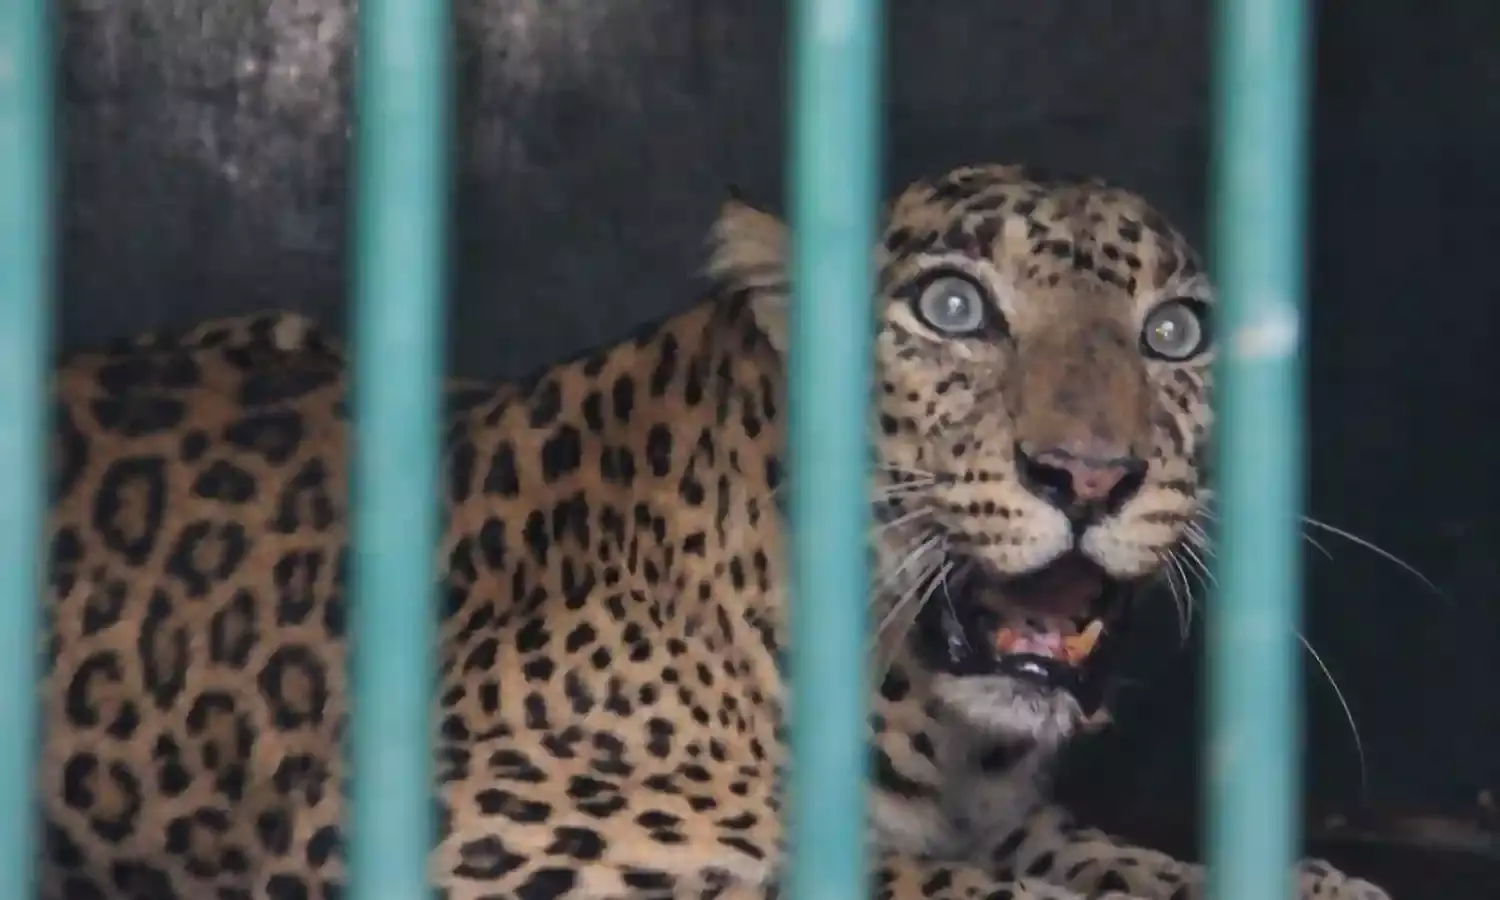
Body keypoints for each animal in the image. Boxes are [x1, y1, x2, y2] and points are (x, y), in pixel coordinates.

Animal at [38, 163, 1393, 900]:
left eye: (1176, 334)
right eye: (953, 309)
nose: (1091, 475)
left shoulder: (1026, 822)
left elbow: (1124, 862)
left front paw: (1315, 877)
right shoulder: (456, 817)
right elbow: (884, 874)